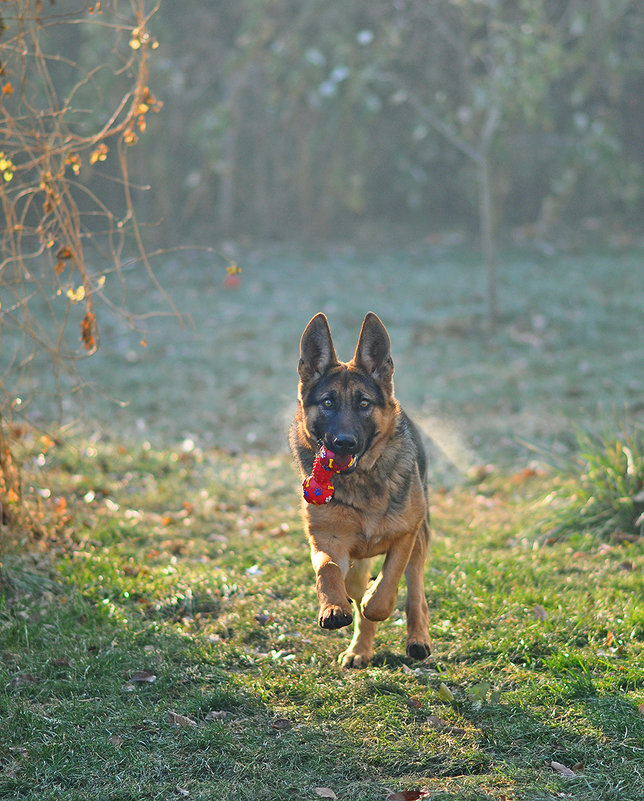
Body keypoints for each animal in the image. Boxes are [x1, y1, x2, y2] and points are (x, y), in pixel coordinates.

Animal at [290, 312, 432, 668]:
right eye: (328, 402)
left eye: (364, 403)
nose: (344, 443)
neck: (361, 482)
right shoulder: (327, 541)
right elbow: (327, 571)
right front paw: (333, 608)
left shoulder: (405, 536)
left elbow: (387, 587)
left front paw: (375, 603)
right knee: (354, 585)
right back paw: (359, 649)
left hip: (421, 539)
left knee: (415, 591)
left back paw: (417, 639)